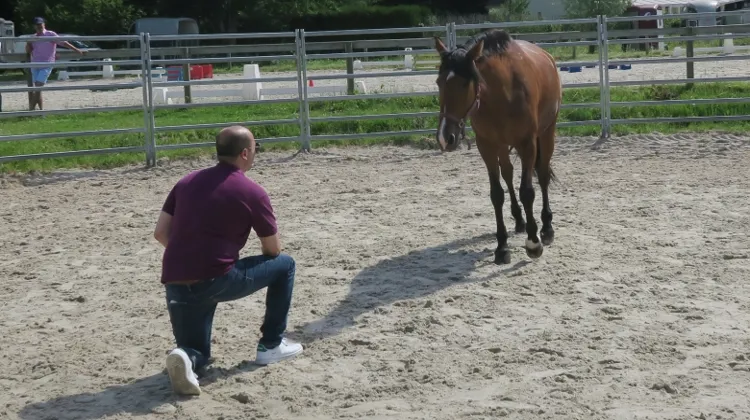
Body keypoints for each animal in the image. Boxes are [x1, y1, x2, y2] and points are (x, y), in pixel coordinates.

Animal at [433, 29, 561, 265]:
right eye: (439, 82)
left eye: (464, 84)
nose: (445, 137)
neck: (502, 94)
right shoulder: (487, 146)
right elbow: (497, 194)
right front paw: (502, 247)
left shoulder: (527, 143)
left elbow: (527, 191)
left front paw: (533, 243)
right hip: (502, 146)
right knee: (508, 174)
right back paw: (519, 221)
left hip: (547, 133)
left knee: (542, 175)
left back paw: (547, 228)